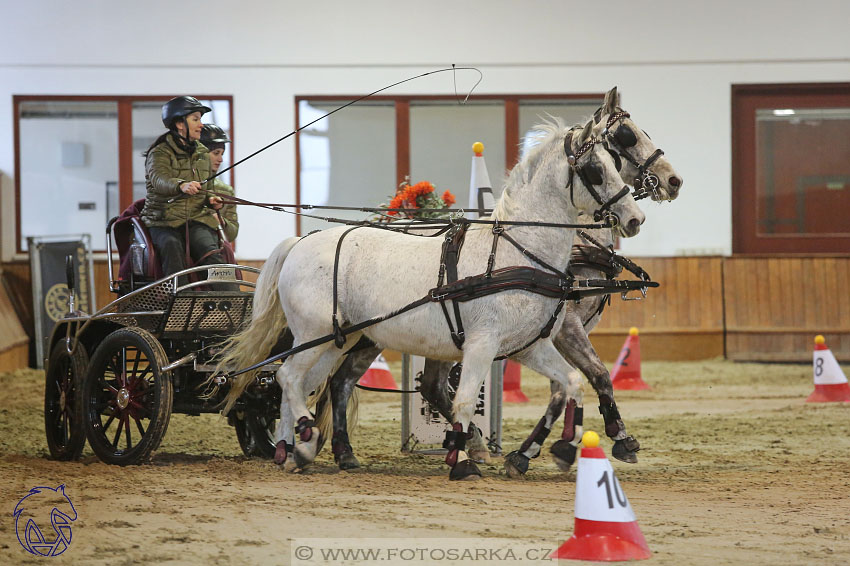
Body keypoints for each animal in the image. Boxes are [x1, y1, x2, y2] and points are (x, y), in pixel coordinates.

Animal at [219, 117, 644, 482]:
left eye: (615, 161)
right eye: (596, 169)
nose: (635, 218)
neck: (517, 252)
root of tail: (299, 242)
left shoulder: (529, 347)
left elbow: (572, 382)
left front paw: (562, 449)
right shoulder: (482, 344)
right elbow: (465, 399)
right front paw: (462, 459)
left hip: (338, 339)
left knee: (306, 383)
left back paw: (293, 451)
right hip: (314, 334)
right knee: (287, 377)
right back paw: (304, 437)